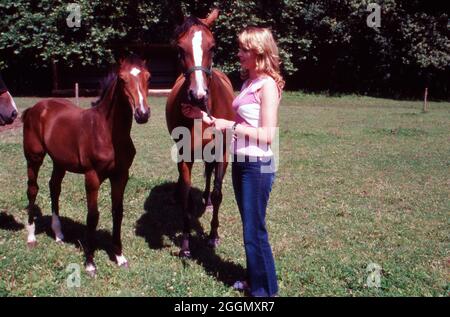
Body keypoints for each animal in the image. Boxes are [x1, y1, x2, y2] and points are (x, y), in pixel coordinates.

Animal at [22, 55, 151, 276]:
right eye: (122, 79)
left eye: (148, 77)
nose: (142, 113)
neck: (107, 132)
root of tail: (35, 108)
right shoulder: (92, 177)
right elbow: (92, 216)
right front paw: (90, 263)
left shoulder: (121, 176)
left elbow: (118, 212)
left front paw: (119, 256)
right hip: (34, 158)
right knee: (33, 189)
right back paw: (31, 236)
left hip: (60, 162)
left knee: (54, 187)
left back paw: (58, 234)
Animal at [166, 9, 236, 256]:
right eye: (179, 48)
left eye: (212, 47)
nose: (198, 95)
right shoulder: (184, 154)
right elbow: (186, 195)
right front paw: (186, 242)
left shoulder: (223, 153)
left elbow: (217, 193)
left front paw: (213, 235)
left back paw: (206, 201)